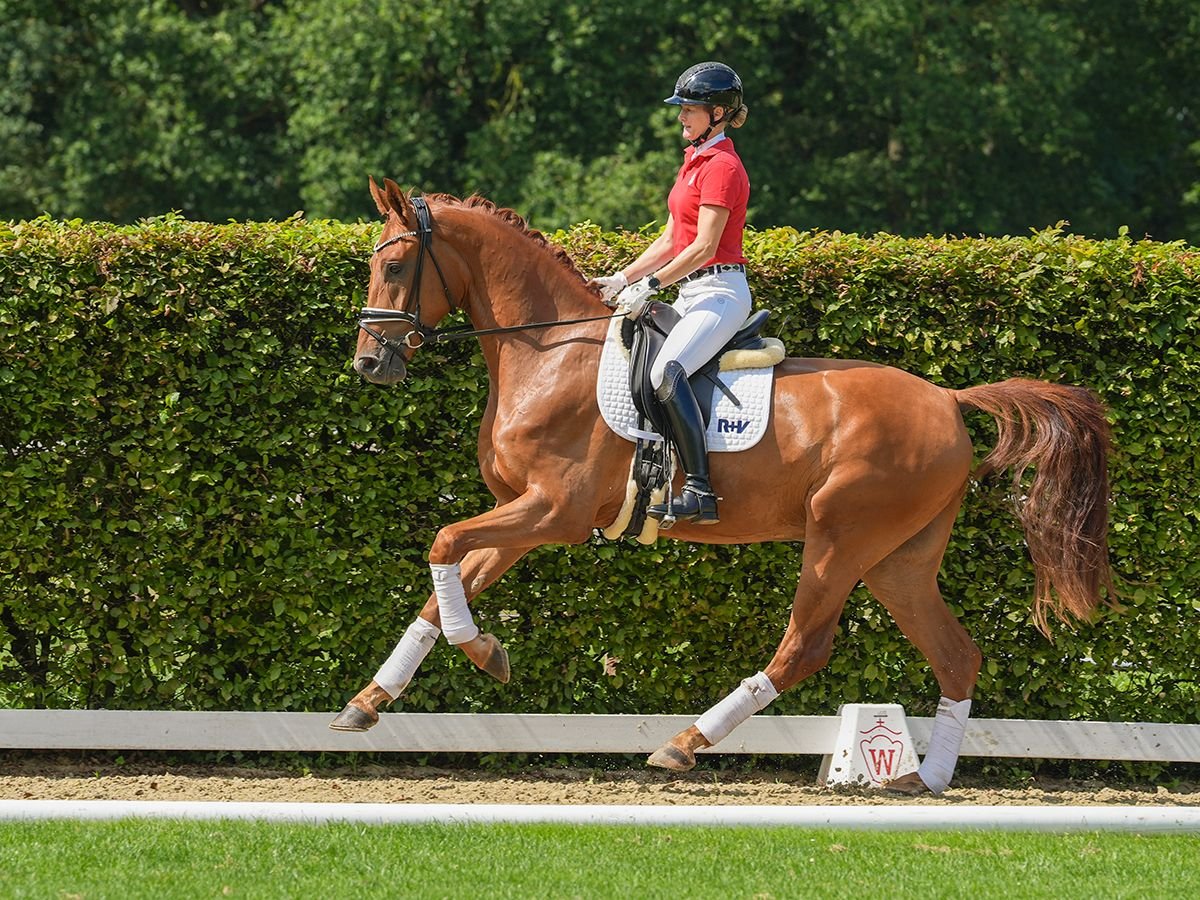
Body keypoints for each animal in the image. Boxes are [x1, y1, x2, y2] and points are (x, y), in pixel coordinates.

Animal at [331, 177, 1113, 796]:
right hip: (900, 559)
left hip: (841, 538)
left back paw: (683, 745)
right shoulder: (519, 514)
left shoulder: (553, 512)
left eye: (394, 265)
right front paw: (374, 699)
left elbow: (443, 543)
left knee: (805, 646)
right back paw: (929, 779)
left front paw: (483, 654)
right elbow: (445, 588)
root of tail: (949, 399)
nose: (370, 364)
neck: (548, 349)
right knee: (956, 655)